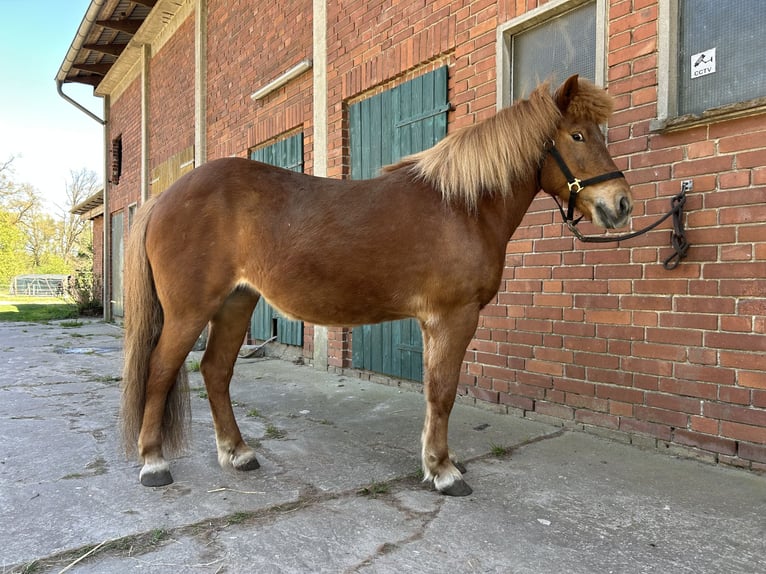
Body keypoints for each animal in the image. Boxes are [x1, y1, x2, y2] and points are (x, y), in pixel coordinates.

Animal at [121, 75, 632, 496]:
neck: (461, 208)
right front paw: (444, 472)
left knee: (215, 371)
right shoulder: (453, 317)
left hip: (235, 302)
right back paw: (154, 464)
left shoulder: (435, 323)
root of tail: (162, 198)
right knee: (161, 370)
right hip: (190, 311)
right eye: (577, 135)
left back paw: (238, 453)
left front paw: (439, 462)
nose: (621, 204)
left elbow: (434, 390)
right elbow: (443, 391)